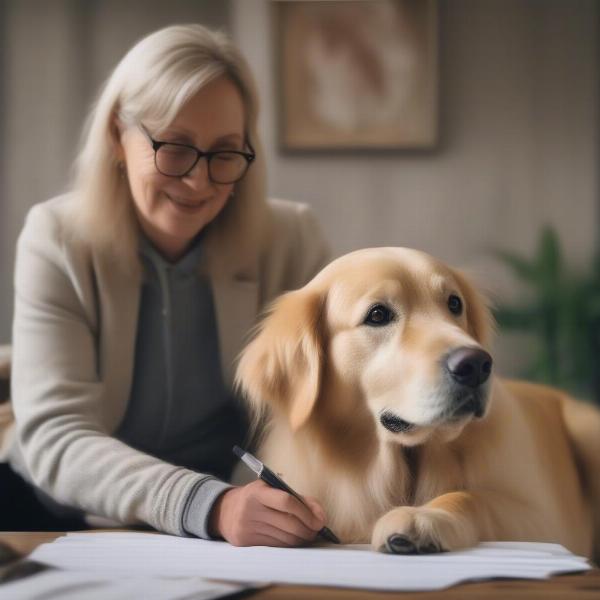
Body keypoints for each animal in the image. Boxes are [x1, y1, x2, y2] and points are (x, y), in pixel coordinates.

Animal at [236, 246, 600, 560]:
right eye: (378, 315)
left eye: (454, 304)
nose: (476, 365)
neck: (403, 462)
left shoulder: (544, 519)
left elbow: (471, 496)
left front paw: (424, 518)